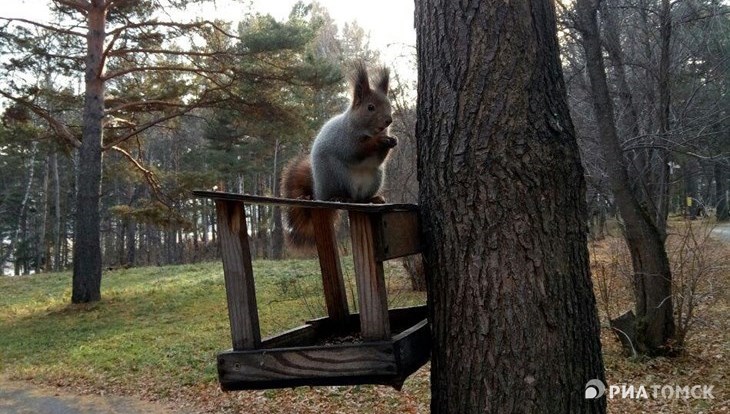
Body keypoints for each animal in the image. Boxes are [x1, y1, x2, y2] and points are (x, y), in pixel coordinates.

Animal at [278, 61, 396, 246]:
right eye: (370, 107)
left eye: (389, 105)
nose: (388, 120)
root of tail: (318, 193)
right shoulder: (344, 141)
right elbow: (355, 151)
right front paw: (378, 141)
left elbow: (378, 159)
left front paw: (392, 140)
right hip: (337, 176)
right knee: (345, 196)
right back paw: (341, 198)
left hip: (376, 178)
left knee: (361, 199)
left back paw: (373, 199)